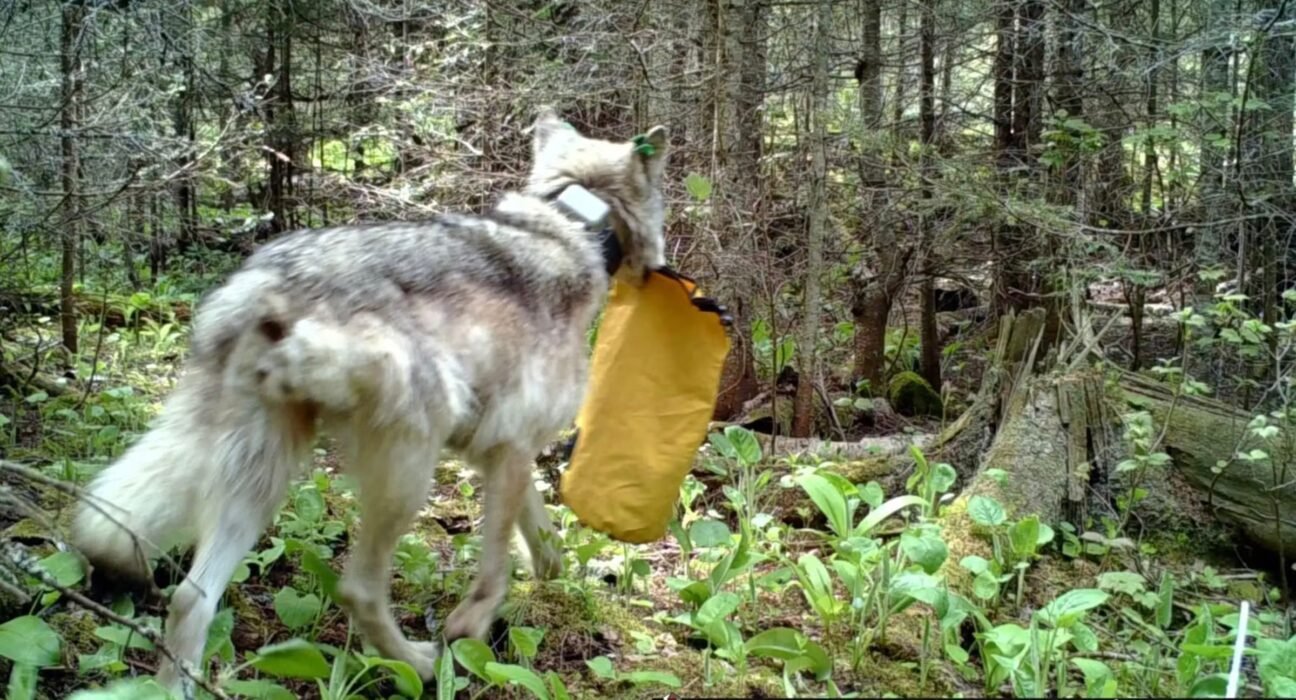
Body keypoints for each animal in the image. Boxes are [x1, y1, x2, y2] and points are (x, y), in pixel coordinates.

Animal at [68, 107, 670, 691]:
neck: (573, 223)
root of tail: (262, 285)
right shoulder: (511, 450)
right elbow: (496, 570)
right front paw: (469, 628)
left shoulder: (500, 455)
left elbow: (543, 544)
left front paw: (557, 579)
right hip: (405, 469)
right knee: (356, 589)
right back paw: (419, 665)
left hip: (262, 478)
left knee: (191, 597)